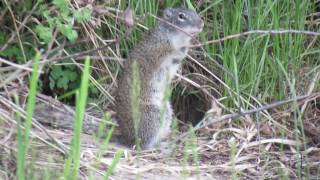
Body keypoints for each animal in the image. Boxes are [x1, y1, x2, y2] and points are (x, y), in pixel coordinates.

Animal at [115, 7, 204, 149]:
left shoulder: (177, 58)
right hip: (152, 116)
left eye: (193, 11)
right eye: (181, 16)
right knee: (143, 144)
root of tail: (127, 138)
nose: (201, 24)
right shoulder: (157, 48)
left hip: (166, 112)